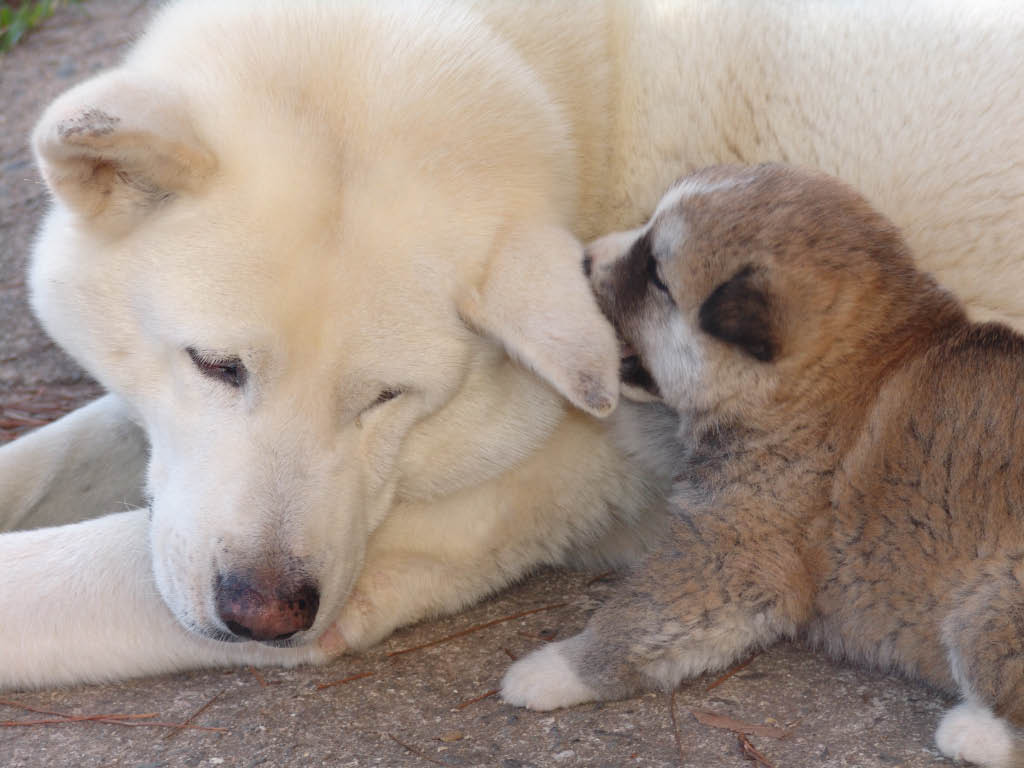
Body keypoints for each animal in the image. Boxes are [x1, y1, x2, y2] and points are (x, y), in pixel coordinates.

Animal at [501, 165, 1024, 765]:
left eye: (656, 274)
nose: (584, 258)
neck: (833, 375)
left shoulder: (730, 557)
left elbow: (636, 618)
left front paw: (551, 671)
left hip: (988, 607)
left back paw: (970, 731)